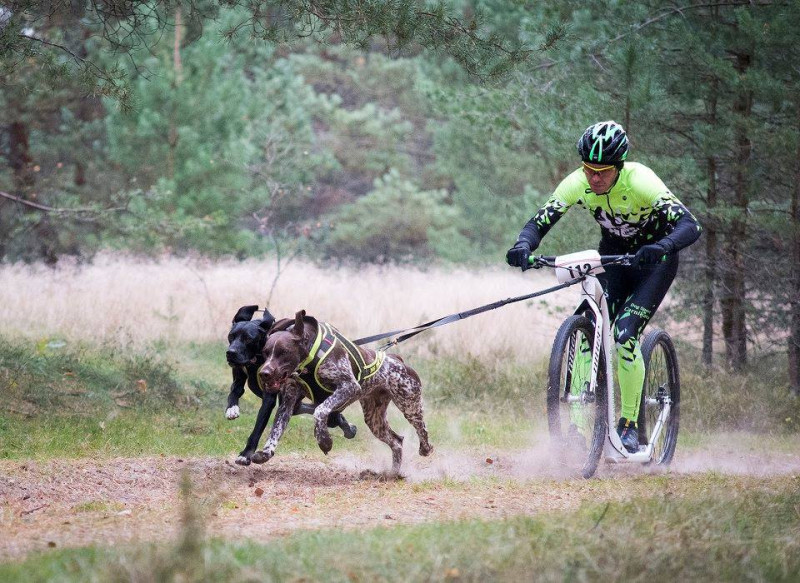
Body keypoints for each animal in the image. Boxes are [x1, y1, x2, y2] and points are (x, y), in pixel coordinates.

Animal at [228, 306, 360, 466]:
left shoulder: (269, 399)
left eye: (248, 338)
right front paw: (232, 409)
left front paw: (246, 454)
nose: (230, 352)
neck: (256, 360)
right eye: (231, 336)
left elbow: (258, 428)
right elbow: (235, 391)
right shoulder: (239, 376)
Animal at [253, 310, 434, 474]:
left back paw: (425, 448)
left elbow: (320, 410)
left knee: (422, 429)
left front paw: (324, 440)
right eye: (265, 353)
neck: (308, 362)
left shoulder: (349, 387)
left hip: (410, 405)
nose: (264, 373)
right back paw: (392, 474)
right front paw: (266, 452)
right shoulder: (288, 403)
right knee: (396, 441)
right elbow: (276, 429)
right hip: (374, 419)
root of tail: (397, 360)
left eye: (284, 352)